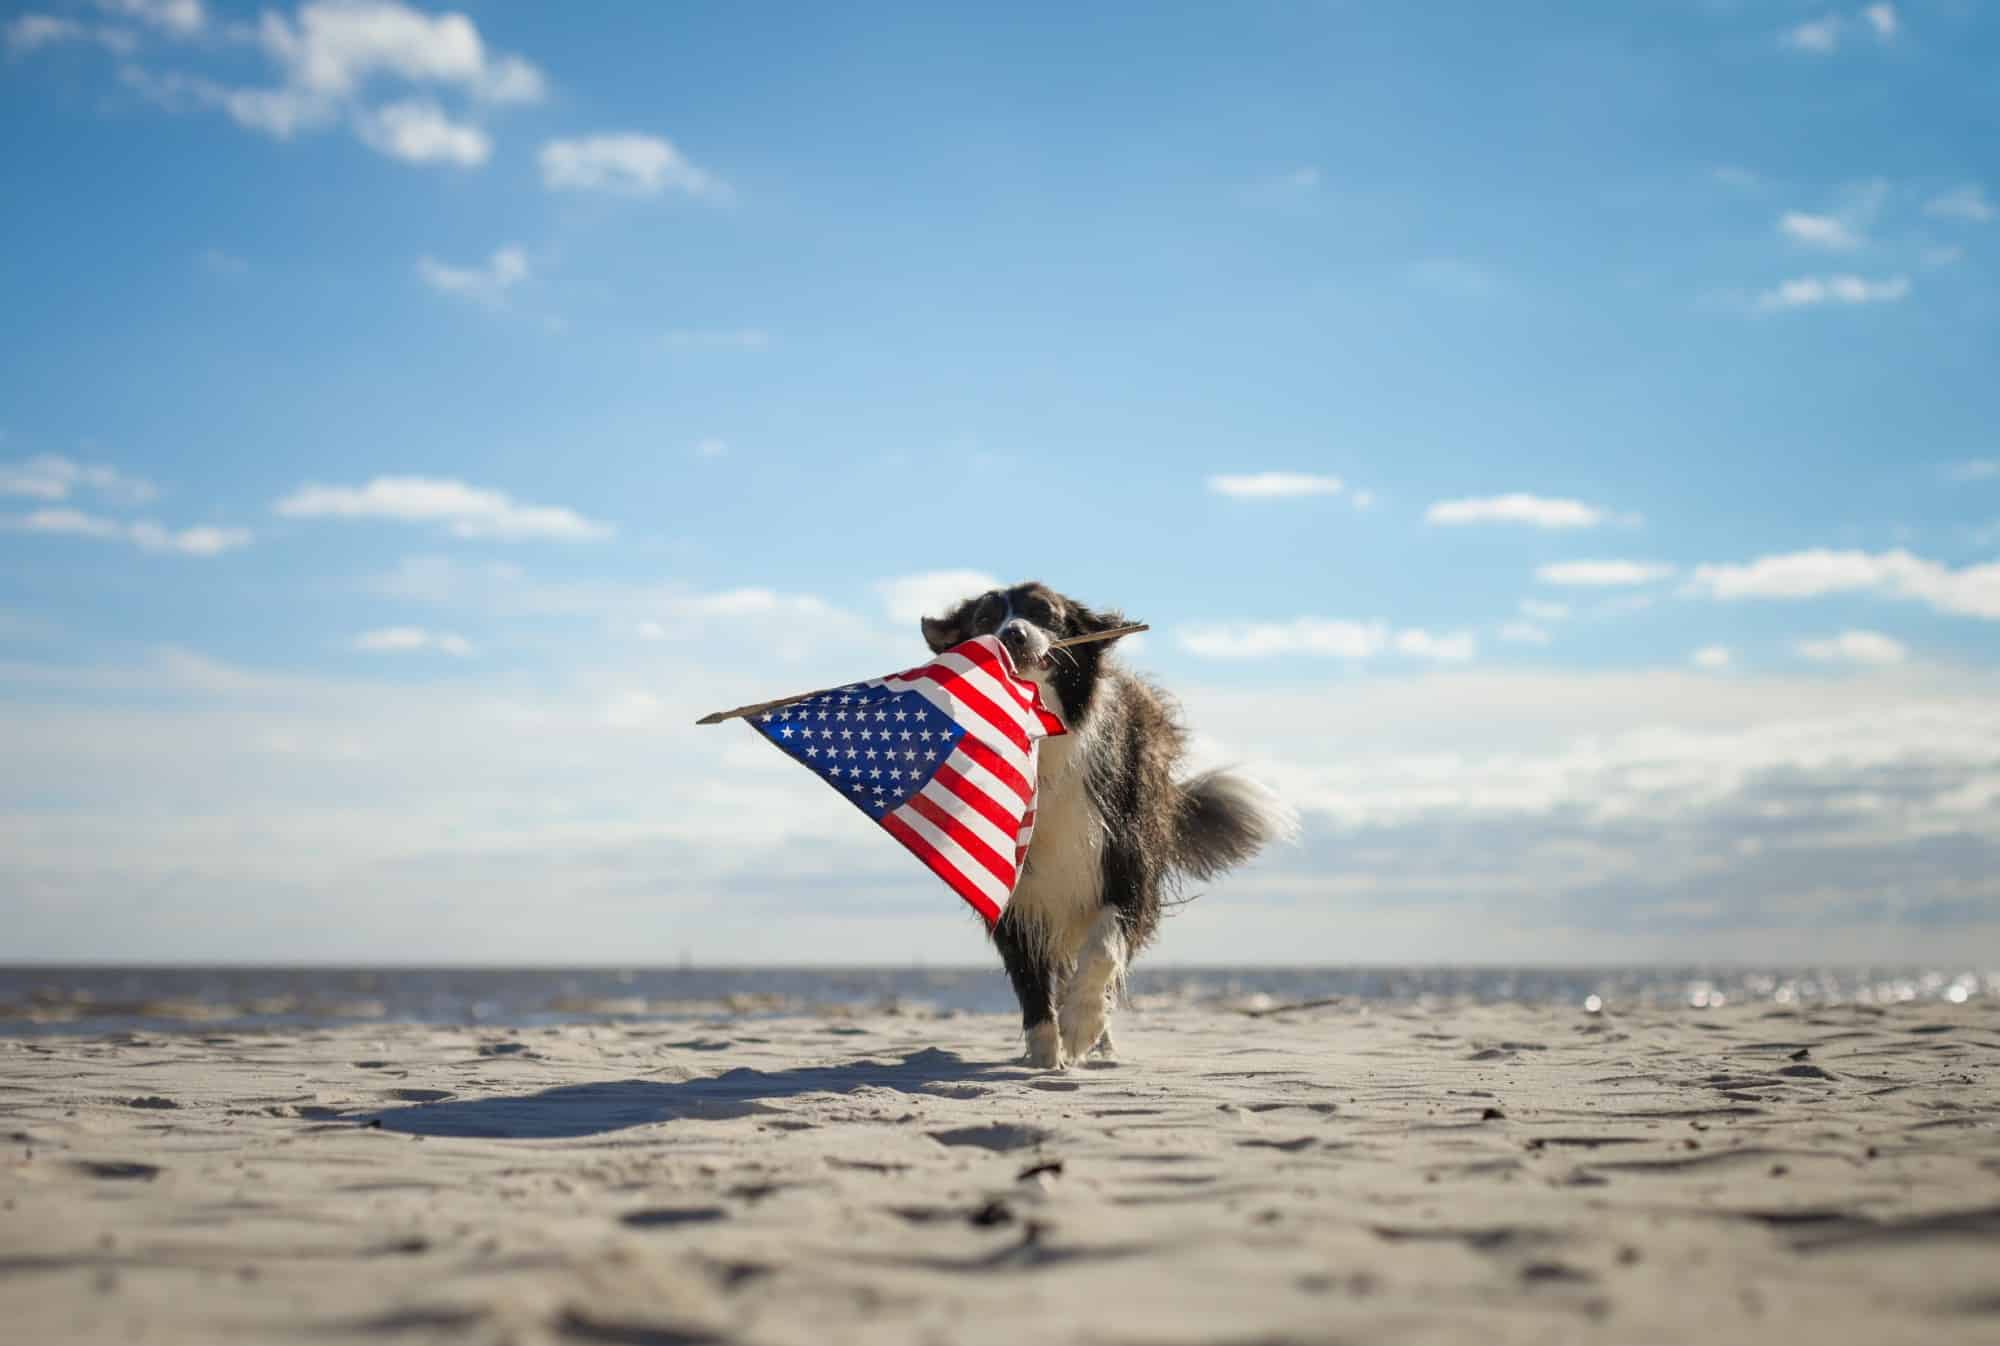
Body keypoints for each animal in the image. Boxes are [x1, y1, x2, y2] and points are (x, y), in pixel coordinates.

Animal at [920, 584, 1296, 1064]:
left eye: (1045, 612)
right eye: (984, 619)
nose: (1012, 635)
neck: (1041, 742)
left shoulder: (1127, 861)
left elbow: (1104, 945)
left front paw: (1081, 1026)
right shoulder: (1011, 886)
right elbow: (1030, 979)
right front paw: (1045, 1055)